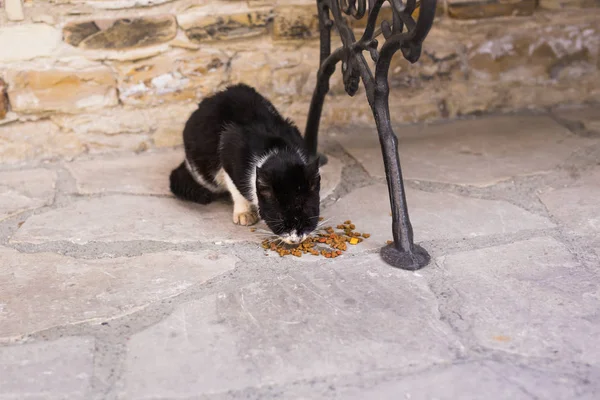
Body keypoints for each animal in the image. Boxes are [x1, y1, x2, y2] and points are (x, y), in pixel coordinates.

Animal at [171, 83, 322, 244]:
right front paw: (244, 212)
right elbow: (235, 186)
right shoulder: (228, 152)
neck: (279, 152)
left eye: (308, 216)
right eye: (280, 219)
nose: (296, 239)